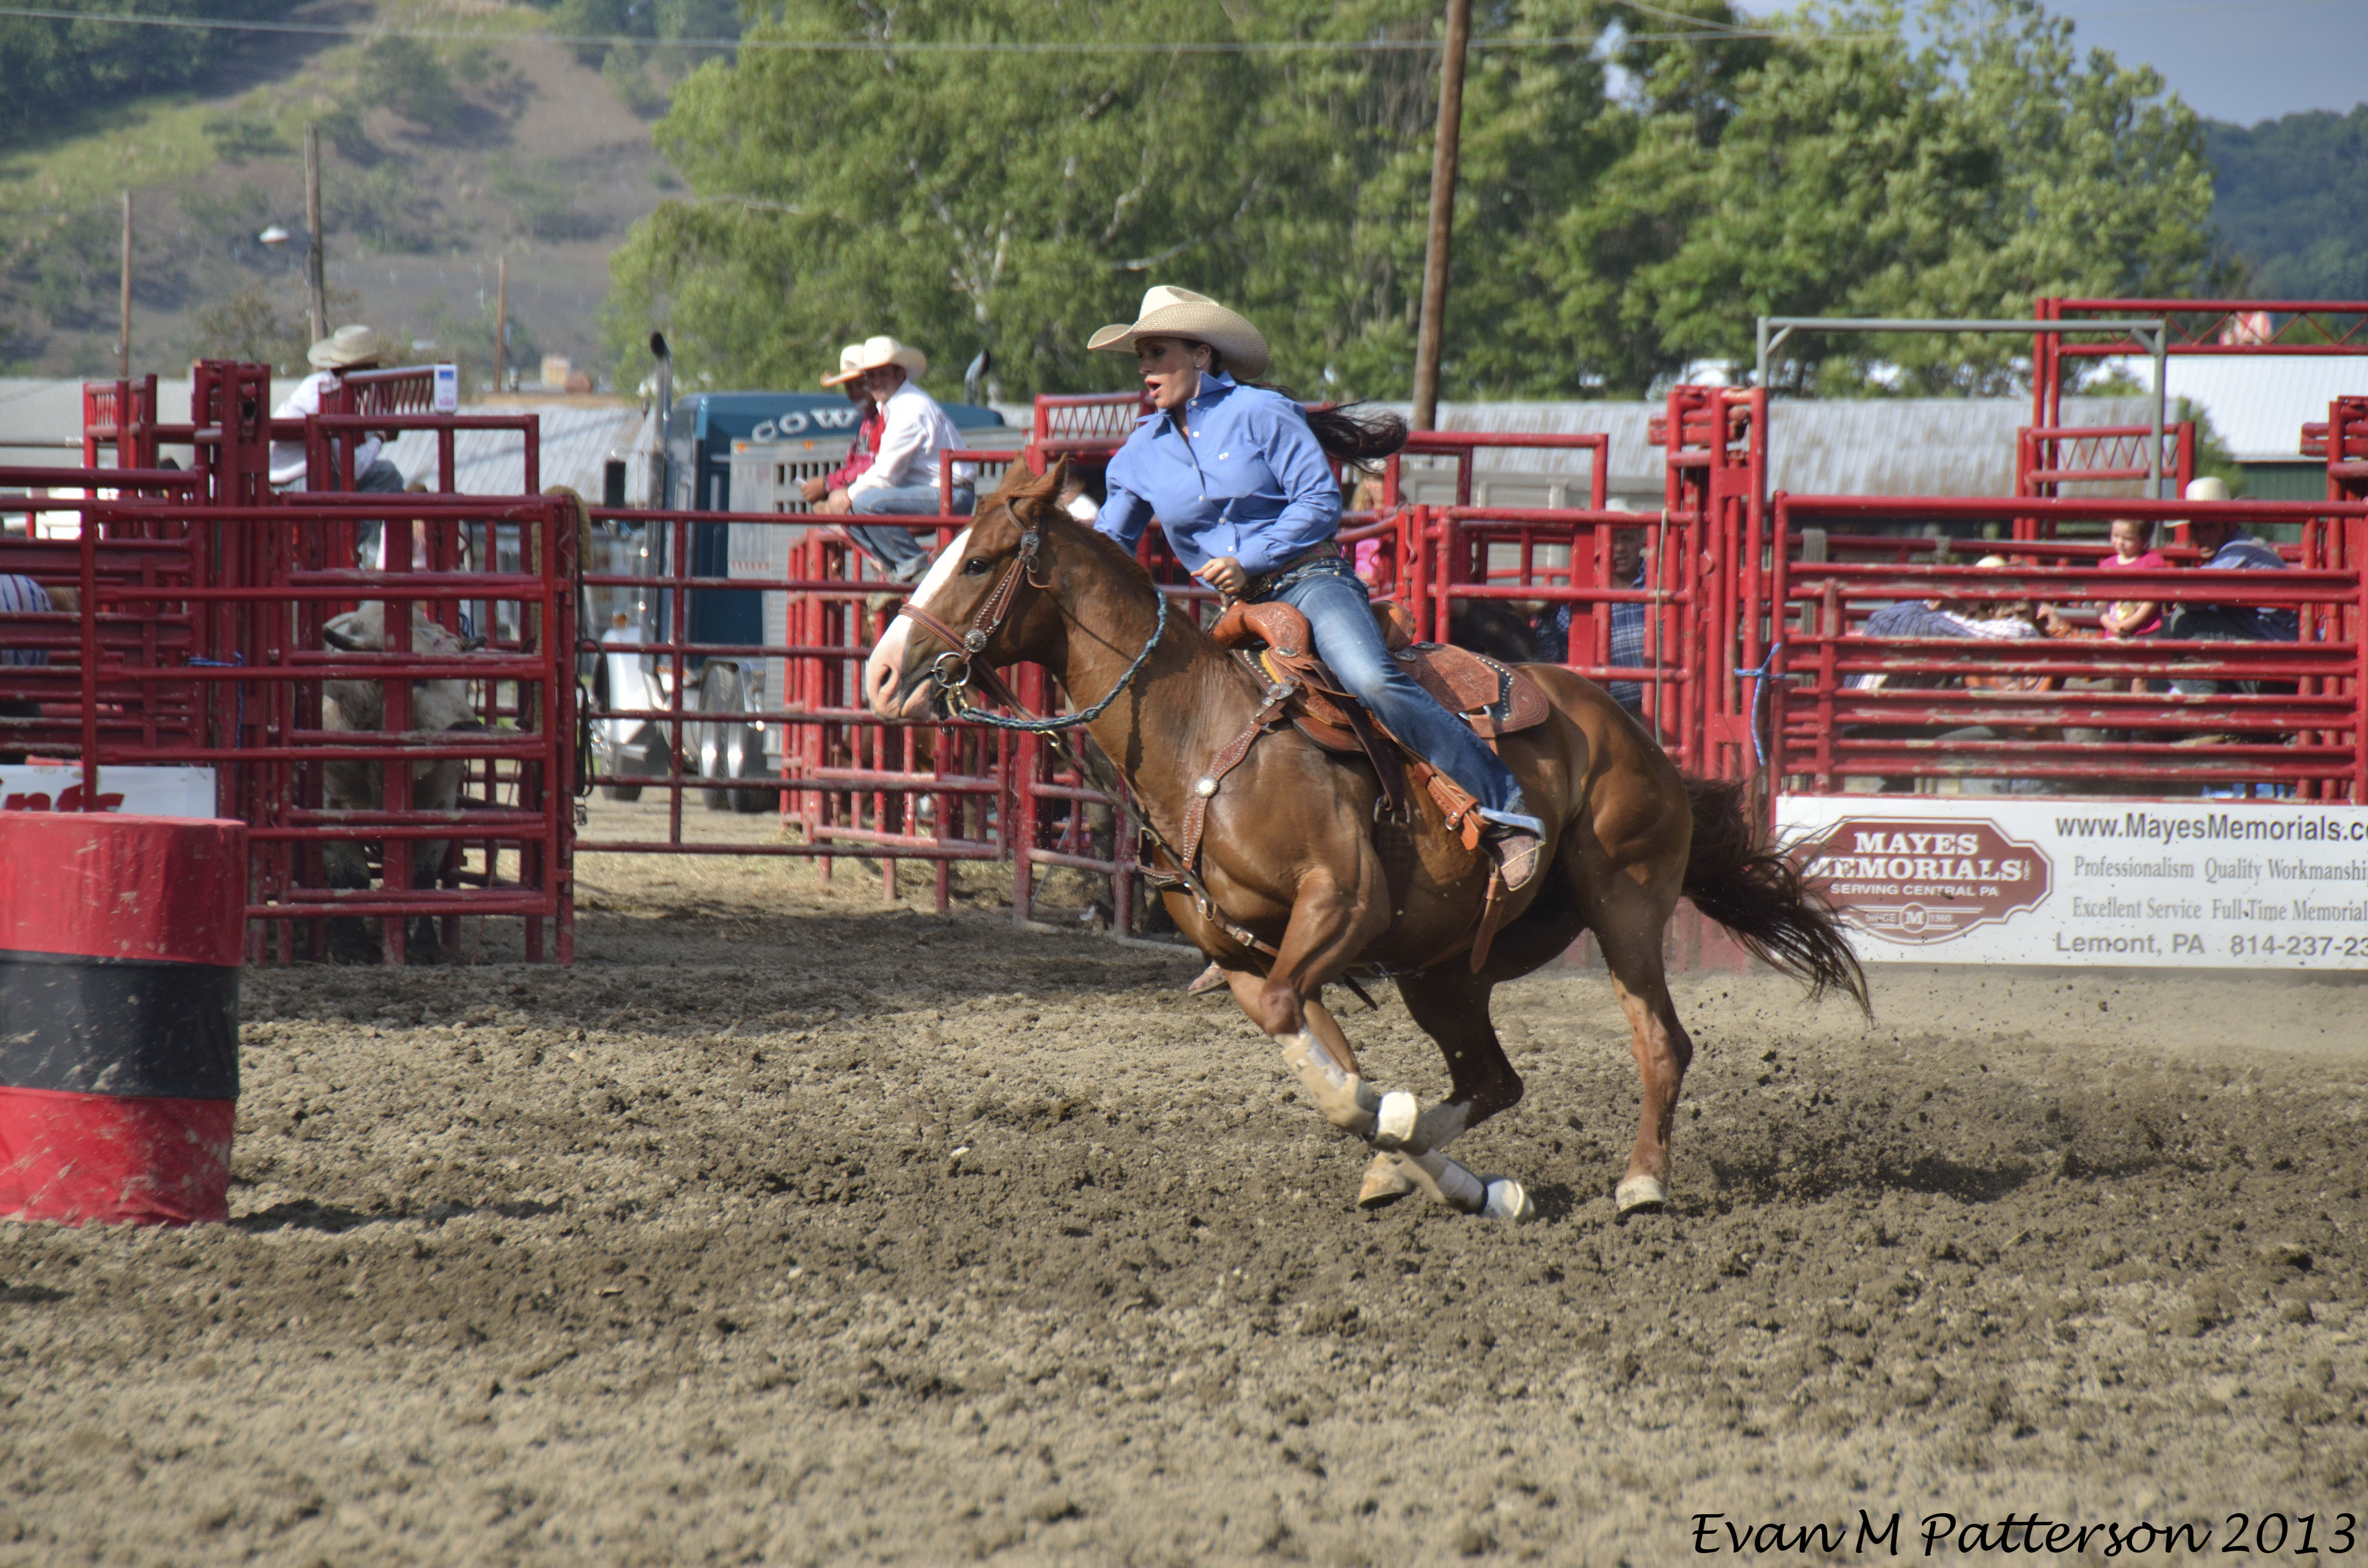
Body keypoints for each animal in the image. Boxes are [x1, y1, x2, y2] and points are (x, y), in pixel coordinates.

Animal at [871, 462, 1866, 1222]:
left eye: (982, 560)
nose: (882, 674)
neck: (1204, 735)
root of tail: (1629, 729)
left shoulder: (1342, 903)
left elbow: (1335, 1071)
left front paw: (1400, 1131)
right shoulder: (1247, 957)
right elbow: (1323, 1066)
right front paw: (1437, 1166)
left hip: (1622, 902)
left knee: (1658, 1039)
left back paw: (1641, 1183)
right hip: (1445, 967)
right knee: (1492, 1076)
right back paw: (1435, 1164)